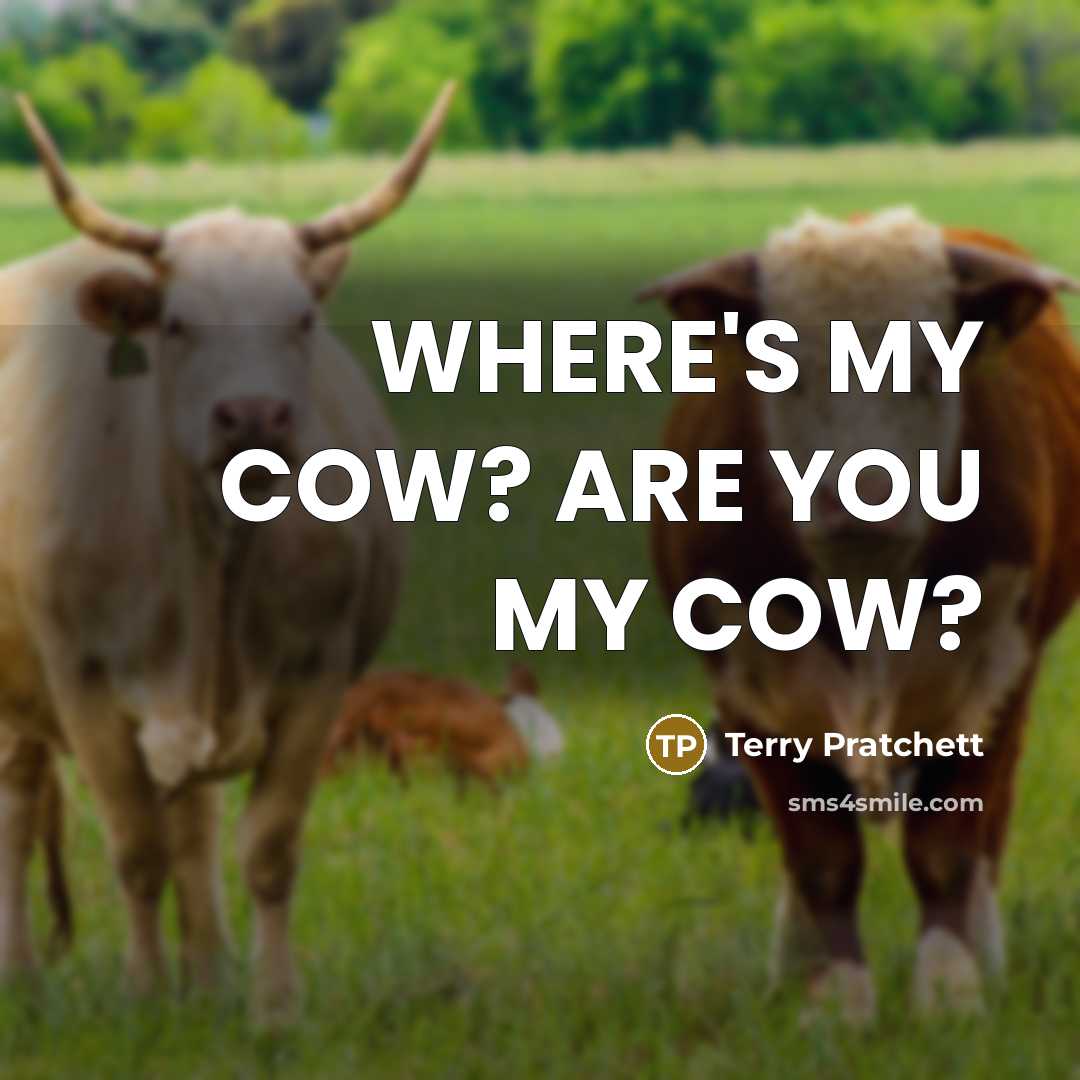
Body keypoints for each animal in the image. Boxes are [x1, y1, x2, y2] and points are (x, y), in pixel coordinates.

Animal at [0, 86, 454, 1026]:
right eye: (177, 324)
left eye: (302, 319)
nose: (252, 415)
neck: (211, 561)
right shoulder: (83, 685)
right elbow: (134, 851)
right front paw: (142, 997)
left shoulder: (316, 681)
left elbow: (265, 850)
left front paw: (271, 1008)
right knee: (21, 804)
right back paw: (21, 973)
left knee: (195, 824)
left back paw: (206, 975)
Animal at [644, 208, 1080, 1024]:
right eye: (782, 365)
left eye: (931, 363)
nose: (862, 491)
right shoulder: (752, 689)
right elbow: (820, 859)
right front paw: (835, 998)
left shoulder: (989, 677)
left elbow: (947, 851)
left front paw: (950, 990)